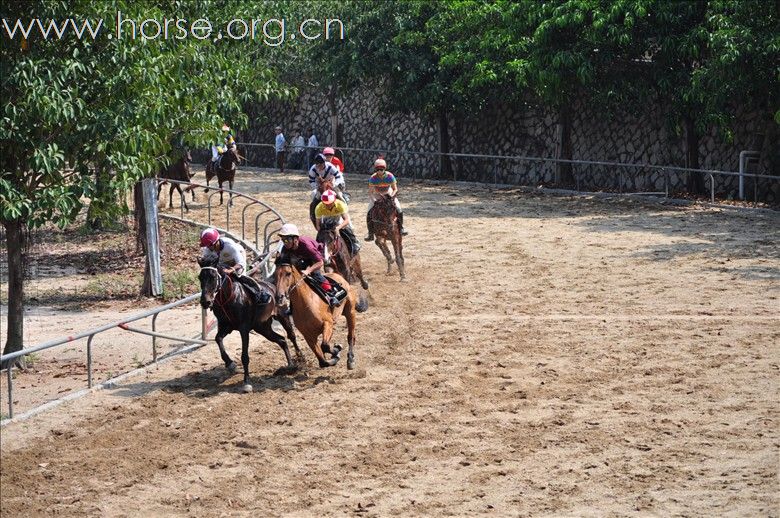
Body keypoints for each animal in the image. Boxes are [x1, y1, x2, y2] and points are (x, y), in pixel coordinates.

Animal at [198, 260, 302, 394]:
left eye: (213, 277)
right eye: (200, 277)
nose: (205, 301)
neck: (229, 297)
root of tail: (275, 287)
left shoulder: (244, 329)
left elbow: (245, 356)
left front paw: (247, 382)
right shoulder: (225, 325)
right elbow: (218, 338)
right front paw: (230, 363)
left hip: (282, 315)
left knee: (291, 335)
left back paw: (300, 356)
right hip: (262, 327)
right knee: (282, 340)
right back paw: (290, 366)